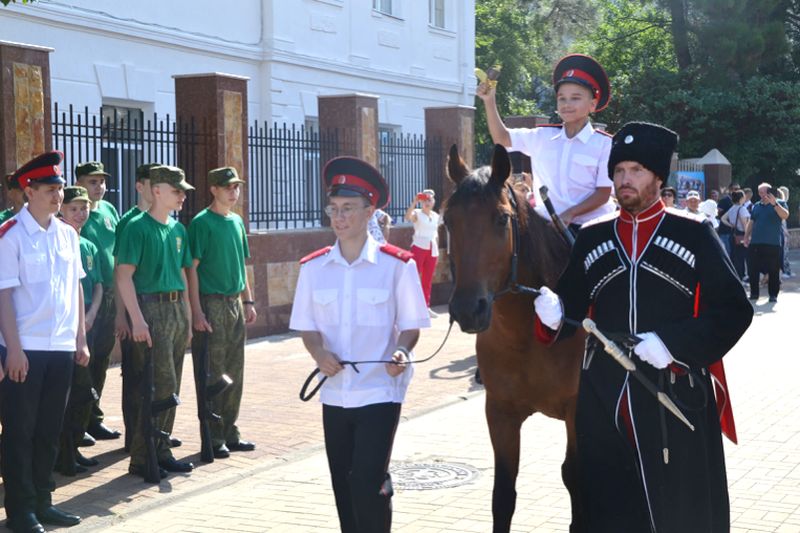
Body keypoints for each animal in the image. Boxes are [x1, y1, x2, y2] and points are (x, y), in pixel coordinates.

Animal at [444, 144, 588, 532]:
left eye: (501, 219)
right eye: (448, 221)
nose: (468, 309)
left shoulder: (577, 412)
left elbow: (576, 478)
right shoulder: (500, 412)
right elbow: (503, 495)